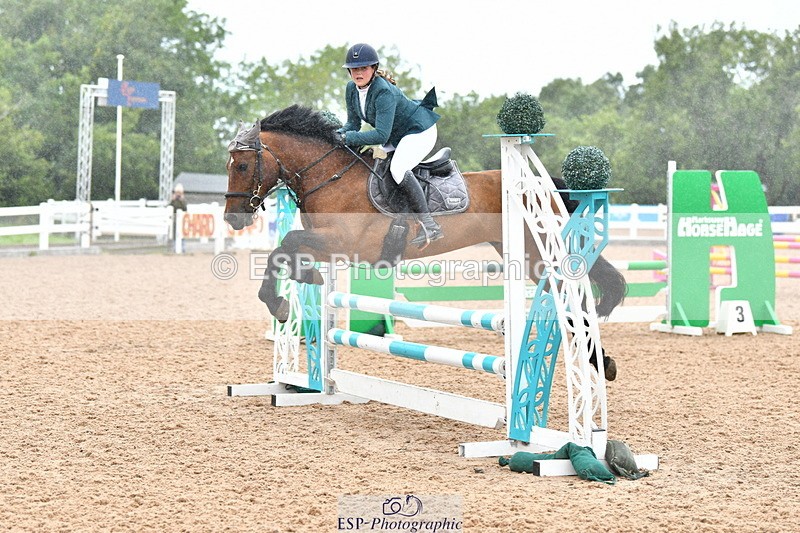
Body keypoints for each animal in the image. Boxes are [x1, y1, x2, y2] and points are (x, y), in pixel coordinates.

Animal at [224, 106, 626, 372]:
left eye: (242, 165)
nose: (233, 217)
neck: (331, 178)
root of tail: (544, 186)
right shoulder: (326, 244)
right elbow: (285, 251)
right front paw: (297, 286)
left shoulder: (345, 243)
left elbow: (287, 243)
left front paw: (282, 299)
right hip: (525, 256)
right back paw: (598, 360)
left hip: (538, 254)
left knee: (574, 303)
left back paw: (598, 361)